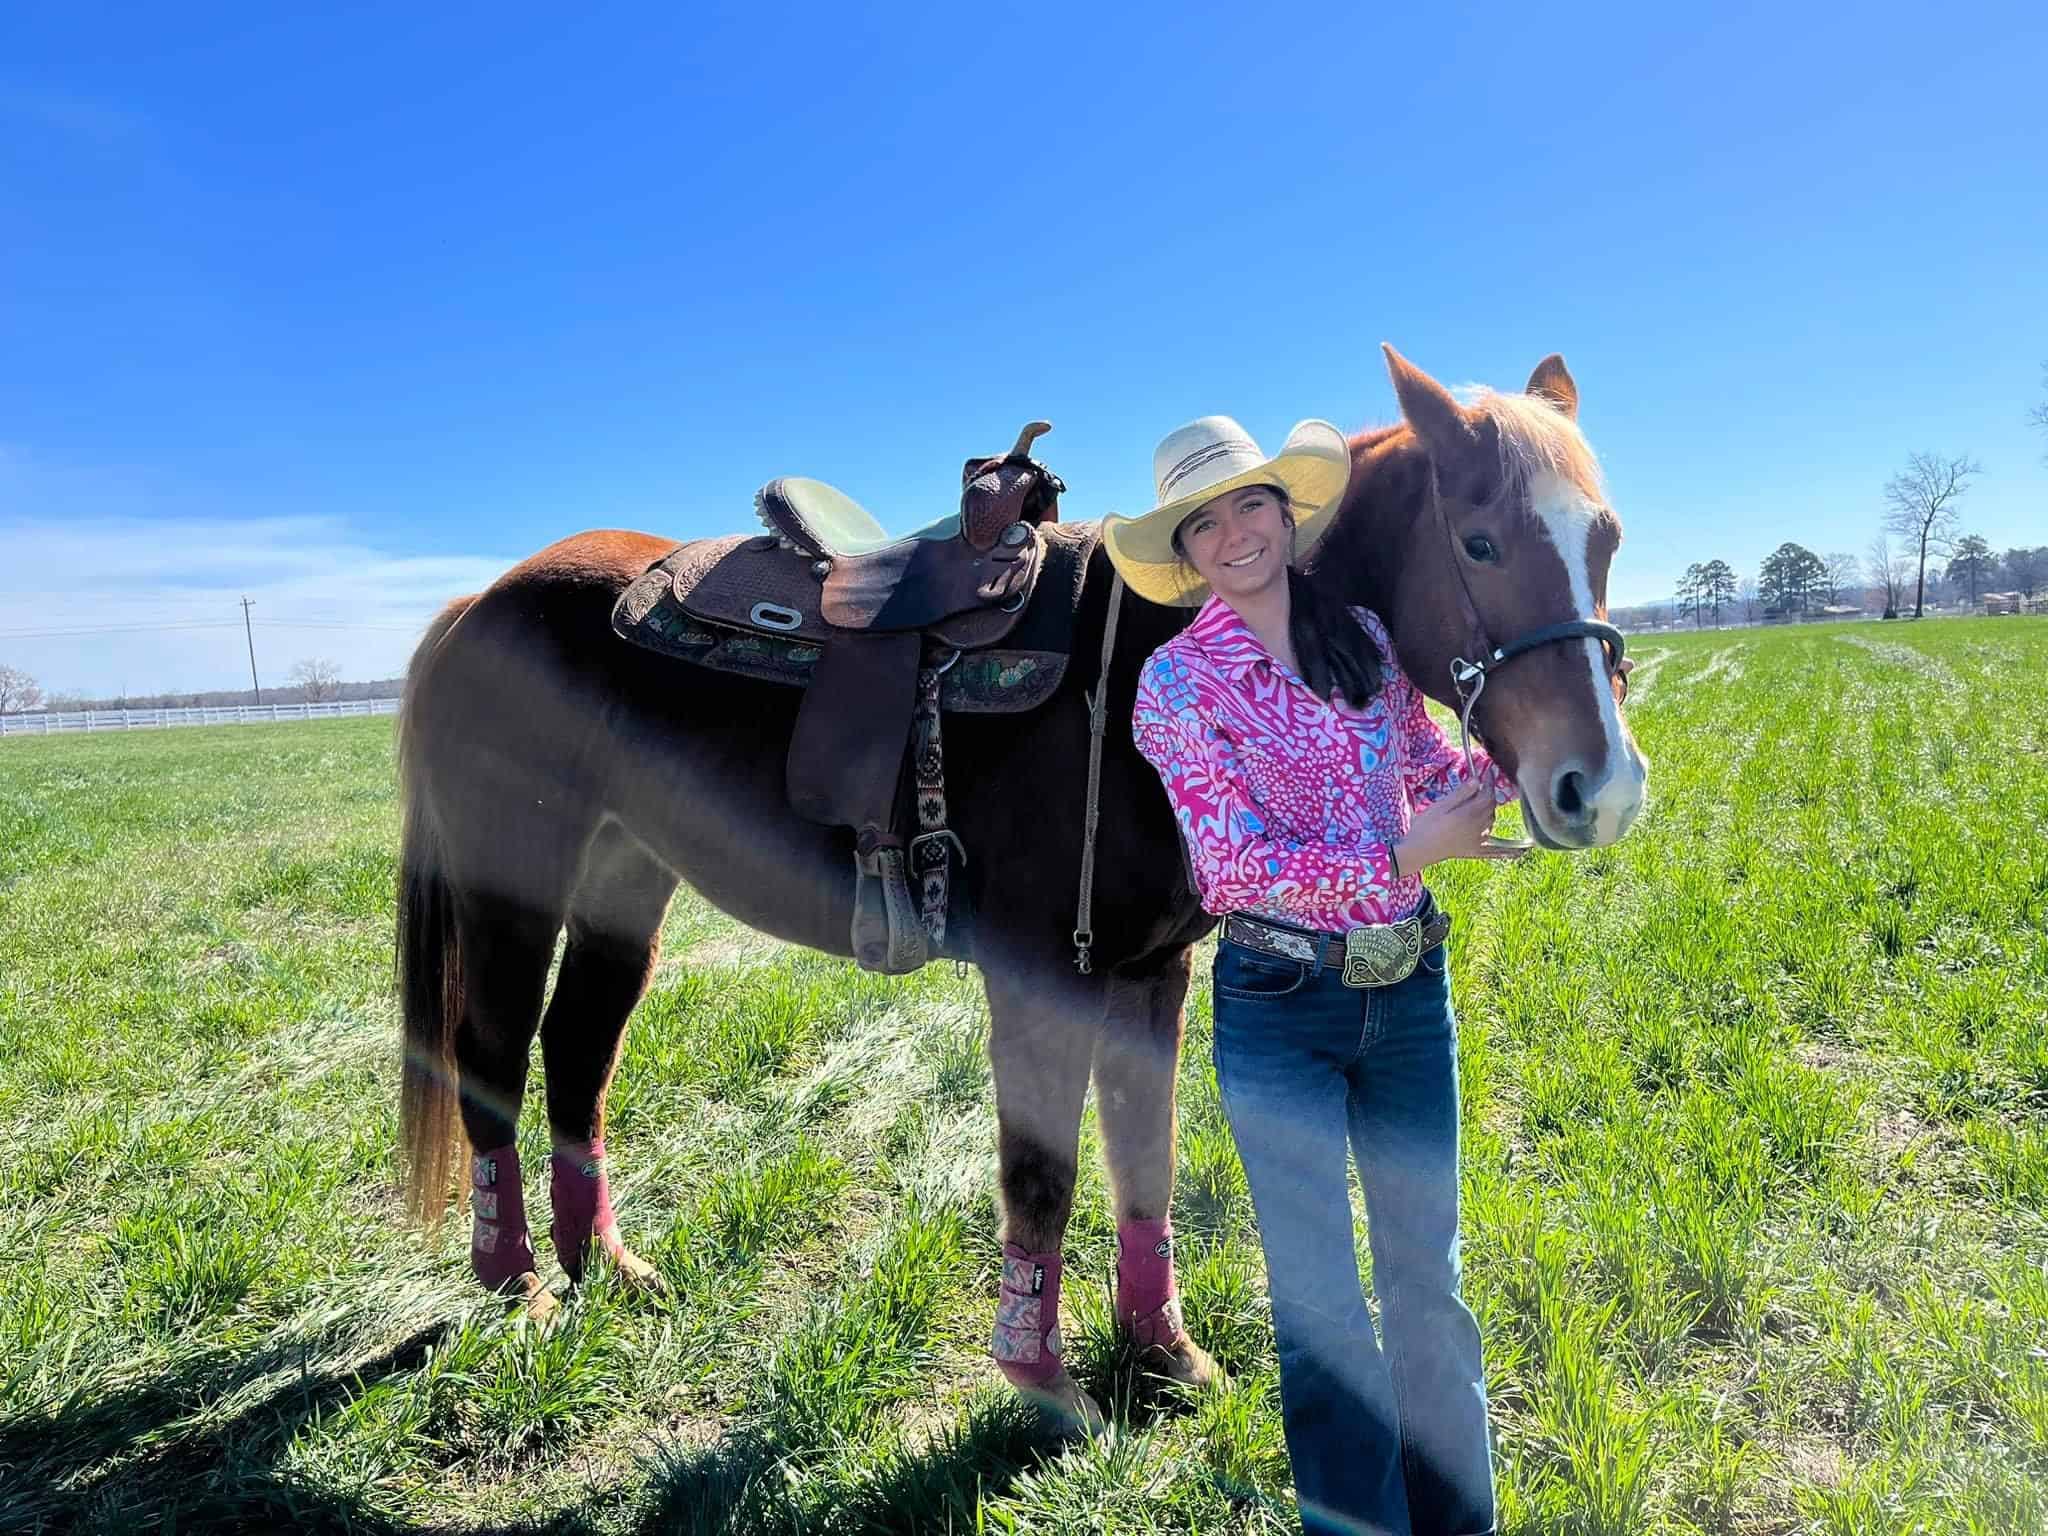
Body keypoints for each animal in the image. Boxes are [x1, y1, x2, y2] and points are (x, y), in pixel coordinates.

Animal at [395, 346, 1646, 1433]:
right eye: (1478, 542)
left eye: (1607, 538)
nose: (1600, 787)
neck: (1137, 662)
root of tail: (473, 605)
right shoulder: (1038, 976)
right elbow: (1043, 1175)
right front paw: (1043, 1384)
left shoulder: (1149, 973)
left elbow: (1142, 1158)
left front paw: (1165, 1353)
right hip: (515, 877)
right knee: (492, 1053)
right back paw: (519, 1288)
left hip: (626, 875)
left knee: (577, 1048)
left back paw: (605, 1265)